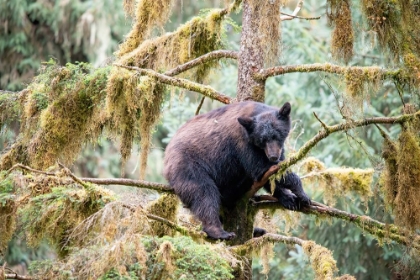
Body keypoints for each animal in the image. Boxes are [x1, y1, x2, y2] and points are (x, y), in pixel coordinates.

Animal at [164, 101, 312, 240]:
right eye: (262, 139)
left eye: (277, 135)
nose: (273, 156)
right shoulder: (243, 144)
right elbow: (262, 168)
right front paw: (303, 195)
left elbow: (271, 176)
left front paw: (289, 198)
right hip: (189, 166)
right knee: (204, 194)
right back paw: (219, 231)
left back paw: (256, 229)